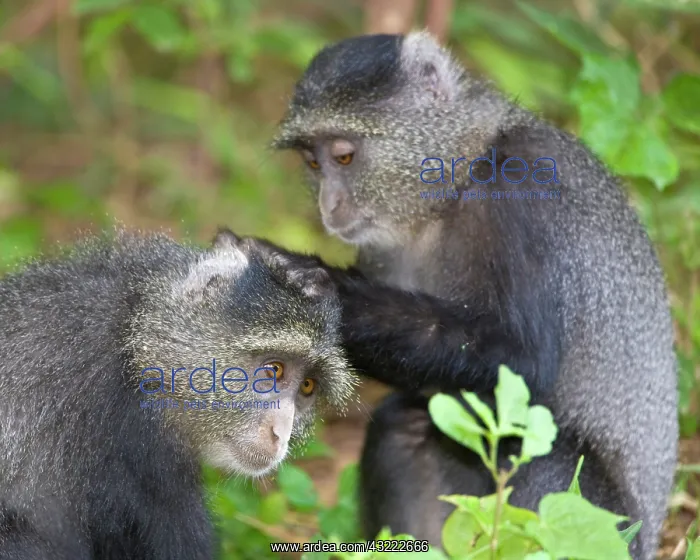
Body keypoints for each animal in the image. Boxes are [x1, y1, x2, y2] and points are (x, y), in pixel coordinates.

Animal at [270, 31, 679, 559]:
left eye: (343, 157)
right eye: (312, 162)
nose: (328, 206)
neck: (457, 179)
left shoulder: (523, 185)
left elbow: (522, 359)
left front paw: (316, 284)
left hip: (607, 523)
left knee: (544, 460)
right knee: (404, 426)